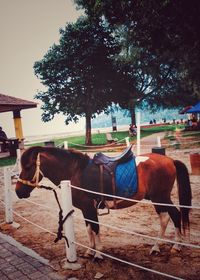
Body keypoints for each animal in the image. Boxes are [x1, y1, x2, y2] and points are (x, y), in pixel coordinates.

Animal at [15, 147, 191, 258]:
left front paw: (98, 254)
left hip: (161, 197)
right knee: (168, 217)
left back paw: (171, 246)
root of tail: (170, 160)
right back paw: (162, 247)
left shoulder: (89, 208)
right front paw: (90, 251)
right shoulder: (85, 209)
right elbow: (89, 229)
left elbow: (95, 228)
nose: (18, 191)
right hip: (158, 199)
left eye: (29, 166)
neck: (74, 172)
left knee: (172, 216)